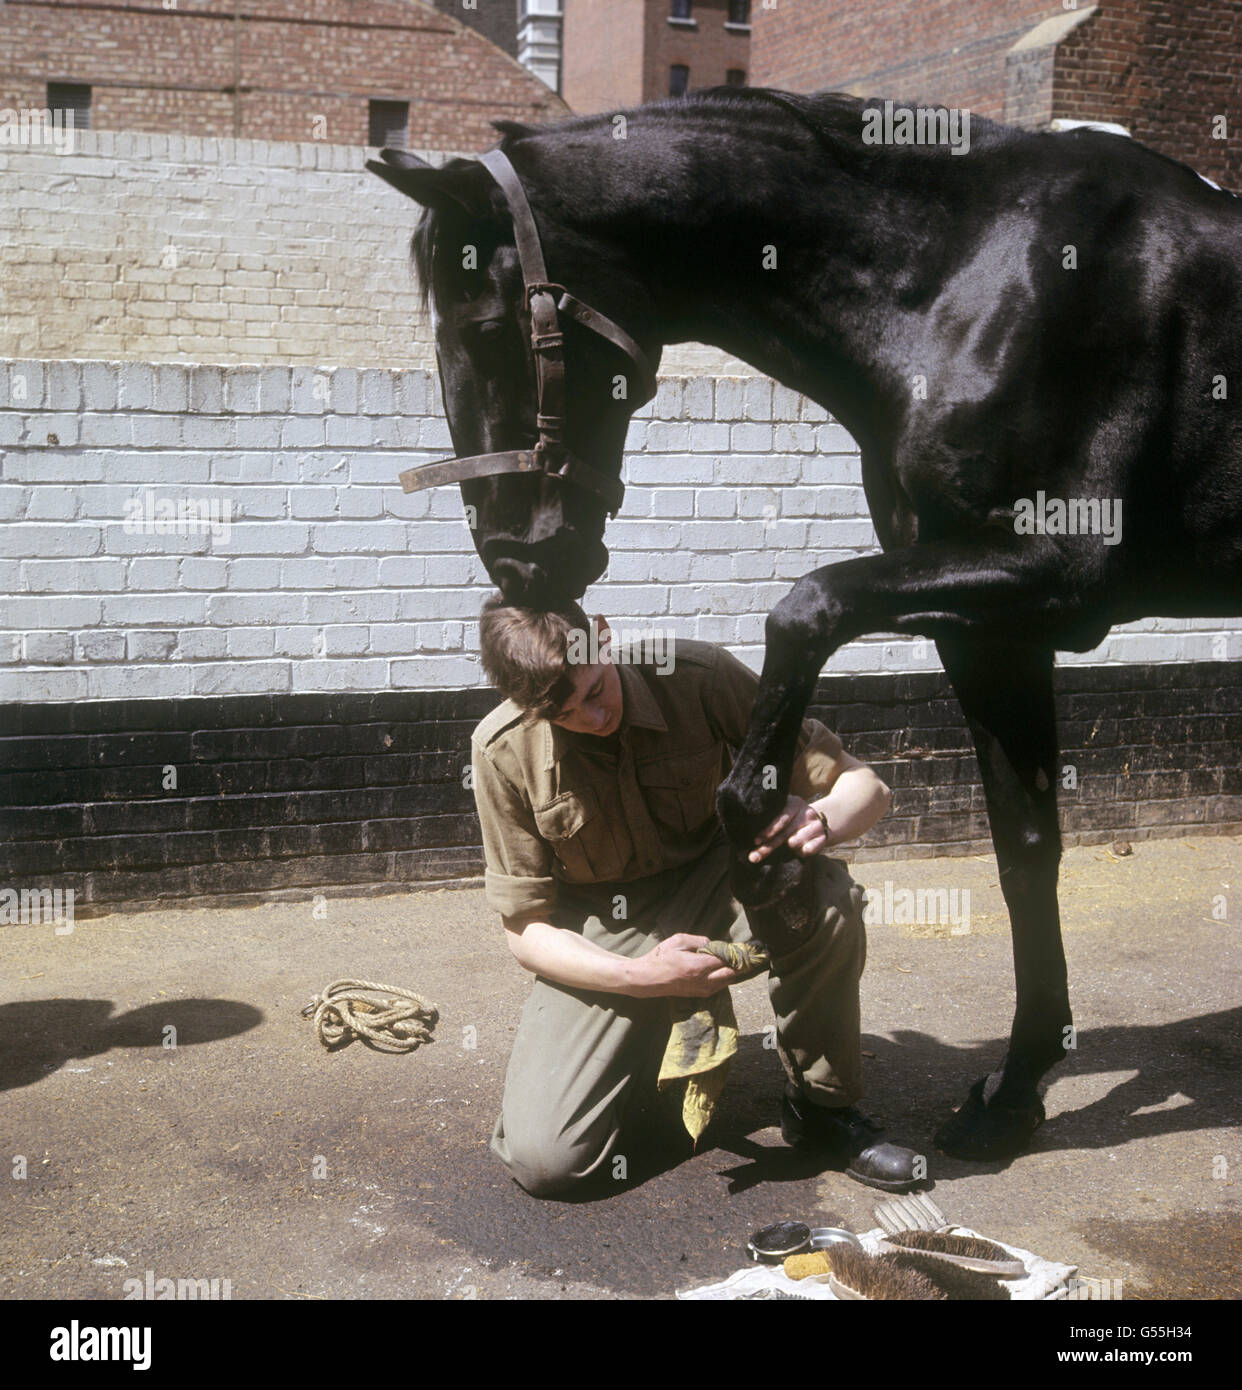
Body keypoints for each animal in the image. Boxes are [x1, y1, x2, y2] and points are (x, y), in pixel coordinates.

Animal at [369, 86, 1242, 1162]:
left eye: (488, 326)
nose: (517, 563)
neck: (975, 279)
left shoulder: (1051, 577)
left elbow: (802, 613)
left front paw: (775, 864)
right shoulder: (993, 630)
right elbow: (1026, 851)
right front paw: (1015, 1091)